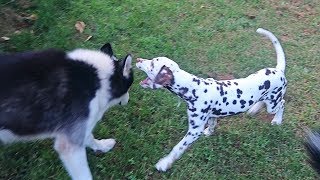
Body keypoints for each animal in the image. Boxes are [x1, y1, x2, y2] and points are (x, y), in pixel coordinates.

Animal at [0, 43, 133, 180]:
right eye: (129, 87)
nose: (128, 100)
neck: (97, 77)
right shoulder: (69, 146)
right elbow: (84, 175)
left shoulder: (78, 129)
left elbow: (89, 137)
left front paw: (102, 146)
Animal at [135, 28, 288, 172]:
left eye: (152, 64)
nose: (137, 60)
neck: (193, 88)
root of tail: (279, 70)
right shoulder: (212, 115)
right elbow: (213, 123)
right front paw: (209, 131)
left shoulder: (194, 130)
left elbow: (178, 148)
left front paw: (164, 163)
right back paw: (254, 109)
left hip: (273, 103)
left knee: (282, 103)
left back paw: (277, 120)